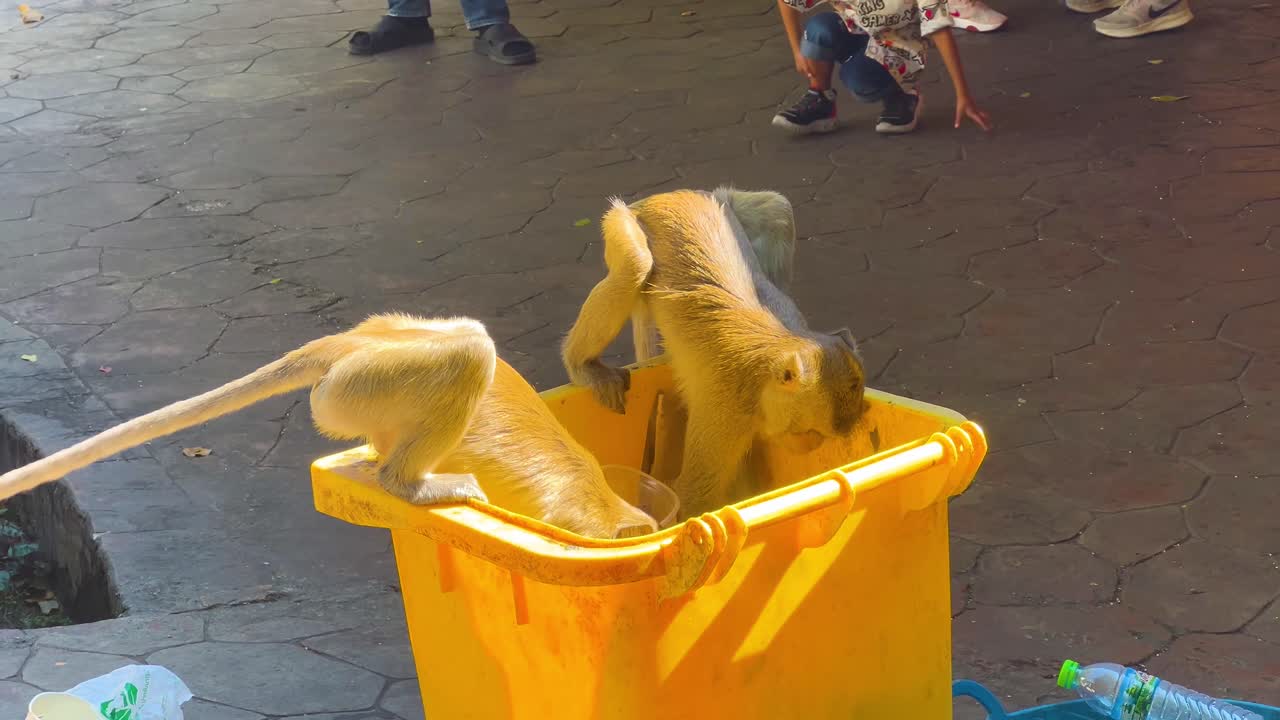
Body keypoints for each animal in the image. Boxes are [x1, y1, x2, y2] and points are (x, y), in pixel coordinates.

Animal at [562, 190, 866, 519]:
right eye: (810, 432)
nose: (809, 444)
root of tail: (665, 196)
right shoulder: (726, 408)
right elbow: (694, 496)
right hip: (622, 221)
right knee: (635, 265)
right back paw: (583, 366)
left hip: (725, 200)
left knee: (779, 211)